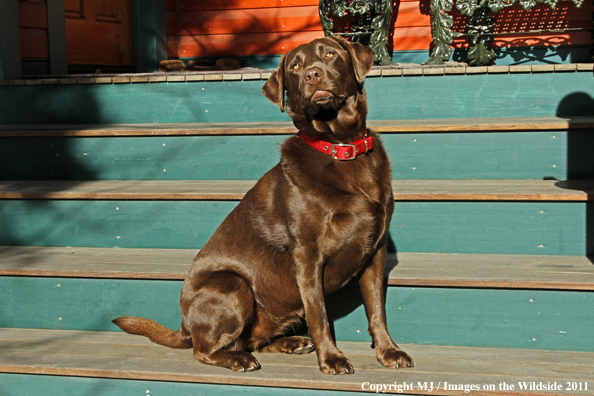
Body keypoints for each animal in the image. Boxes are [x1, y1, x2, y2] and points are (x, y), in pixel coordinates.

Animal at [113, 36, 414, 374]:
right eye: (294, 66)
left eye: (329, 54)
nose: (312, 75)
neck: (340, 148)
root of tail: (183, 325)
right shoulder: (308, 255)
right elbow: (319, 314)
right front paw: (332, 358)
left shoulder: (375, 251)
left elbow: (377, 309)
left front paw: (389, 351)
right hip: (233, 285)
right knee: (204, 350)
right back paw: (238, 359)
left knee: (250, 340)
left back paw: (290, 343)